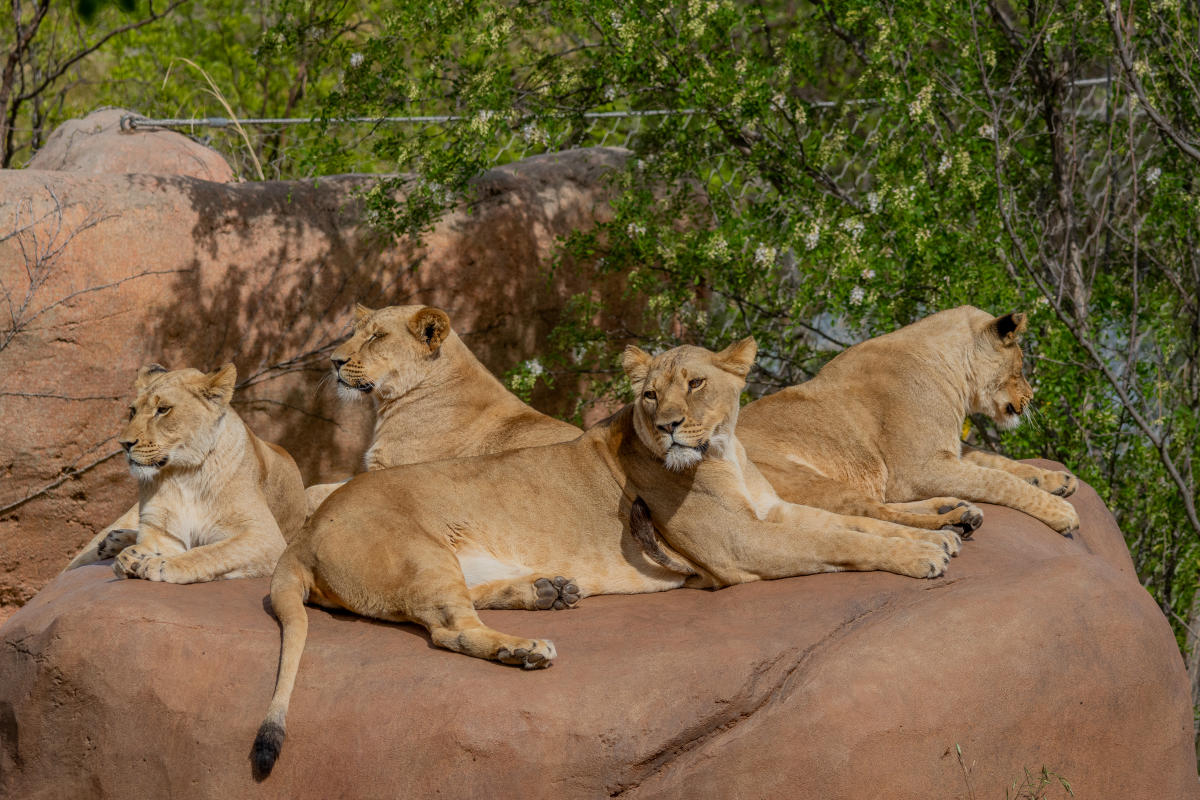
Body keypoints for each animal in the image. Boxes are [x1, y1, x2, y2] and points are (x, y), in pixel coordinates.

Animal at [65, 364, 306, 582]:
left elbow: (209, 553)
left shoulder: (265, 536)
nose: (124, 444)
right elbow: (155, 543)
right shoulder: (162, 531)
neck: (186, 474)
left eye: (163, 409)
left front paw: (156, 564)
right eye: (132, 411)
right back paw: (113, 541)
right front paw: (134, 557)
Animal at [251, 337, 958, 777]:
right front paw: (925, 552)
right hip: (419, 552)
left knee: (462, 605)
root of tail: (306, 530)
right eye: (649, 396)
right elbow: (841, 540)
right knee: (450, 630)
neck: (726, 450)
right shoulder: (740, 547)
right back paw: (525, 649)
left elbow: (849, 521)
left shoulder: (772, 514)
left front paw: (941, 528)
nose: (670, 426)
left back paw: (548, 592)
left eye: (695, 383)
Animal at [736, 306, 1080, 536]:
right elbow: (997, 479)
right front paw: (1059, 510)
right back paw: (954, 520)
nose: (1031, 396)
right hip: (801, 476)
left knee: (877, 509)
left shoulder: (946, 452)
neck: (952, 369)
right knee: (868, 512)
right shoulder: (915, 470)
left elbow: (995, 461)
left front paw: (1056, 479)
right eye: (1020, 368)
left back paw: (950, 506)